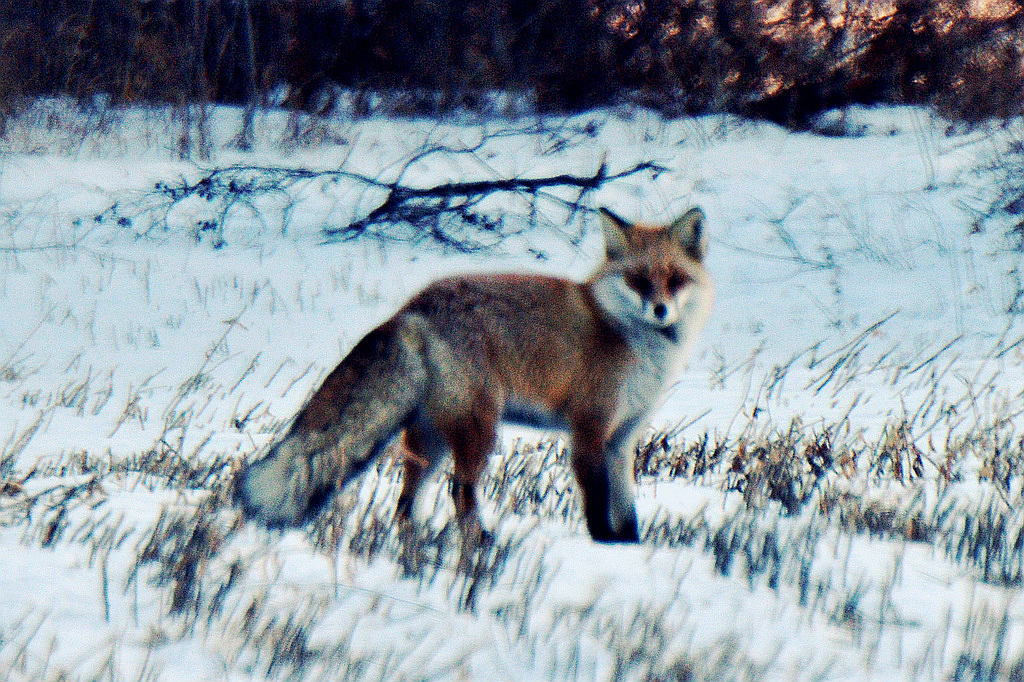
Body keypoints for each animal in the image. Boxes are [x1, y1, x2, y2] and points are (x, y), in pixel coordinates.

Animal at [232, 206, 712, 540]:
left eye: (674, 279)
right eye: (637, 280)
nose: (660, 310)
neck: (632, 341)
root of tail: (411, 307)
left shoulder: (622, 439)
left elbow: (627, 511)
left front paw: (631, 549)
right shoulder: (589, 431)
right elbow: (596, 504)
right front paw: (604, 549)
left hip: (432, 440)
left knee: (406, 501)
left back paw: (416, 543)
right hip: (479, 428)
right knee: (459, 491)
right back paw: (479, 544)